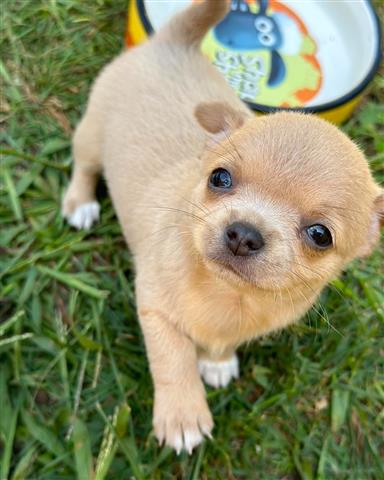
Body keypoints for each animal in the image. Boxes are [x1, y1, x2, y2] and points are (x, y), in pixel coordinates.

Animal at [61, 0, 382, 454]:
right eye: (220, 178)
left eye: (320, 235)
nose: (244, 233)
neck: (228, 294)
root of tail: (173, 42)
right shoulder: (156, 309)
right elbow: (174, 359)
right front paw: (182, 416)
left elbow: (223, 343)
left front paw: (216, 362)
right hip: (91, 134)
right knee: (84, 165)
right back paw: (80, 202)